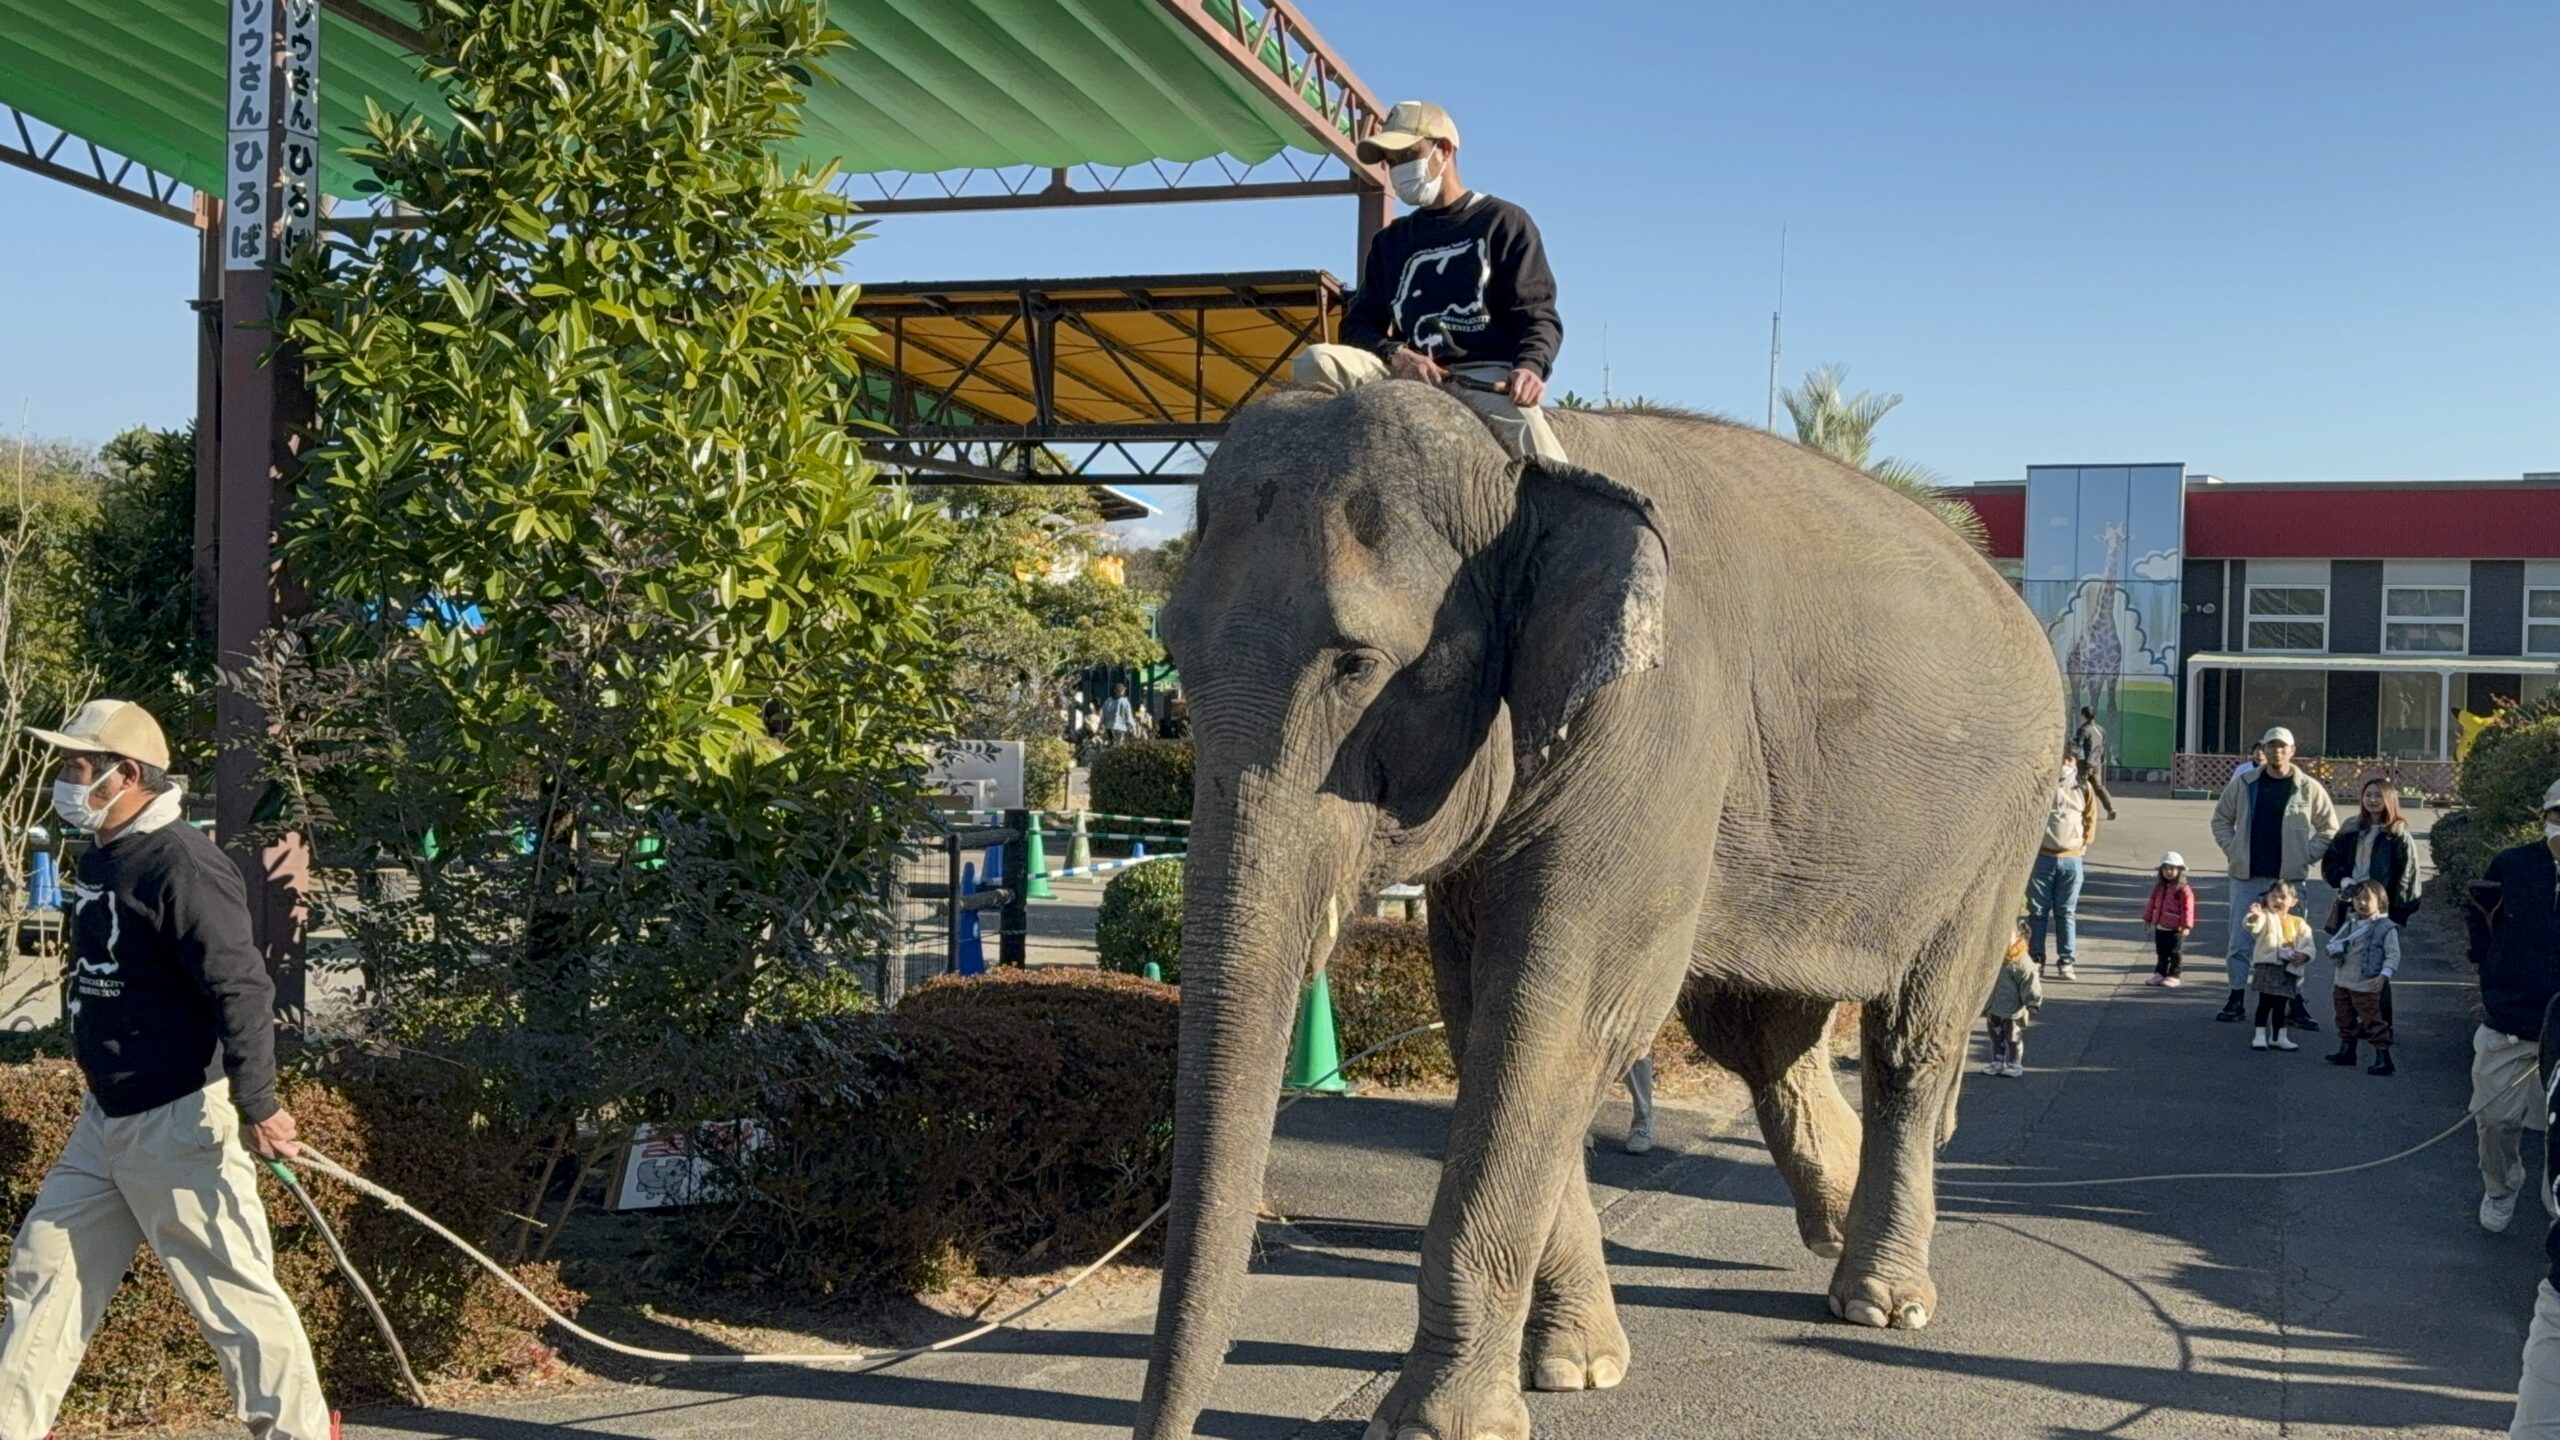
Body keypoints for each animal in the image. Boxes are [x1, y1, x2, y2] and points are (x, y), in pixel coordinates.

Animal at [1136, 376, 2058, 1424]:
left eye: (1356, 666)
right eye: (1171, 651)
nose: (1165, 1431)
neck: (1519, 465)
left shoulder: (1653, 726)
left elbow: (1558, 1020)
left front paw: (1439, 1424)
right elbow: (1488, 1018)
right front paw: (1576, 1367)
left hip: (2004, 823)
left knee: (1914, 1039)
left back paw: (1882, 1300)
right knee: (1757, 1032)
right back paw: (1834, 1224)